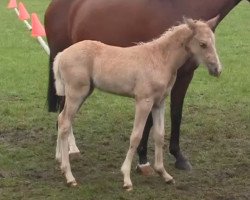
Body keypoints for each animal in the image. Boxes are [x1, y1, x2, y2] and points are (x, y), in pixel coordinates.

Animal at [45, 0, 250, 172]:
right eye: (202, 44)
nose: (217, 69)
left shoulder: (168, 87)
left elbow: (169, 117)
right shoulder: (159, 88)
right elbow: (155, 121)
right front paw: (144, 159)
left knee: (64, 114)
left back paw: (64, 153)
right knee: (63, 113)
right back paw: (68, 152)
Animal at [53, 18, 222, 190]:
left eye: (213, 41)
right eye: (202, 44)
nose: (217, 69)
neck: (161, 59)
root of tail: (61, 55)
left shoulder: (159, 103)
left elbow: (159, 135)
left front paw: (164, 174)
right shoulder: (144, 101)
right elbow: (136, 136)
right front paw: (127, 178)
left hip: (83, 93)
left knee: (61, 119)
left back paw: (60, 160)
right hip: (76, 94)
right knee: (65, 123)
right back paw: (69, 176)